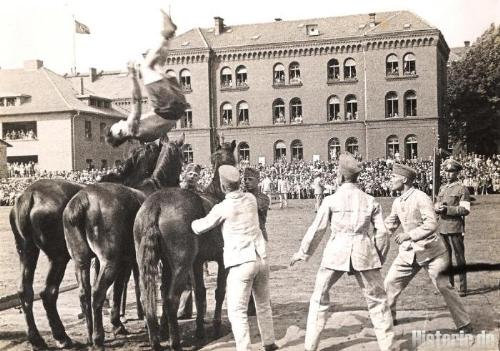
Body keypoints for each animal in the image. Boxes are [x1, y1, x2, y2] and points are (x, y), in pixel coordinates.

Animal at [9, 142, 160, 350]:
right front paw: (116, 322)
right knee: (50, 292)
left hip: (28, 250)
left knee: (29, 291)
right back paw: (65, 336)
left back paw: (43, 338)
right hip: (59, 257)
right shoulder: (121, 259)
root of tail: (29, 195)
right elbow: (117, 287)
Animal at [63, 136, 185, 348]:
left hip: (81, 261)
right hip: (109, 261)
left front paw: (119, 323)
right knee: (97, 293)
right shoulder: (137, 261)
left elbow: (122, 288)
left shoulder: (128, 262)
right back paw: (98, 338)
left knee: (84, 294)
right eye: (182, 155)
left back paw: (90, 334)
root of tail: (83, 199)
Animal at [134, 140, 237, 351]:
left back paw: (156, 340)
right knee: (171, 299)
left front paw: (200, 330)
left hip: (152, 264)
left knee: (150, 298)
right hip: (181, 265)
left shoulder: (197, 263)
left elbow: (200, 293)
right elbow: (219, 292)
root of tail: (156, 203)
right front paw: (215, 327)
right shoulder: (221, 260)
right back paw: (175, 342)